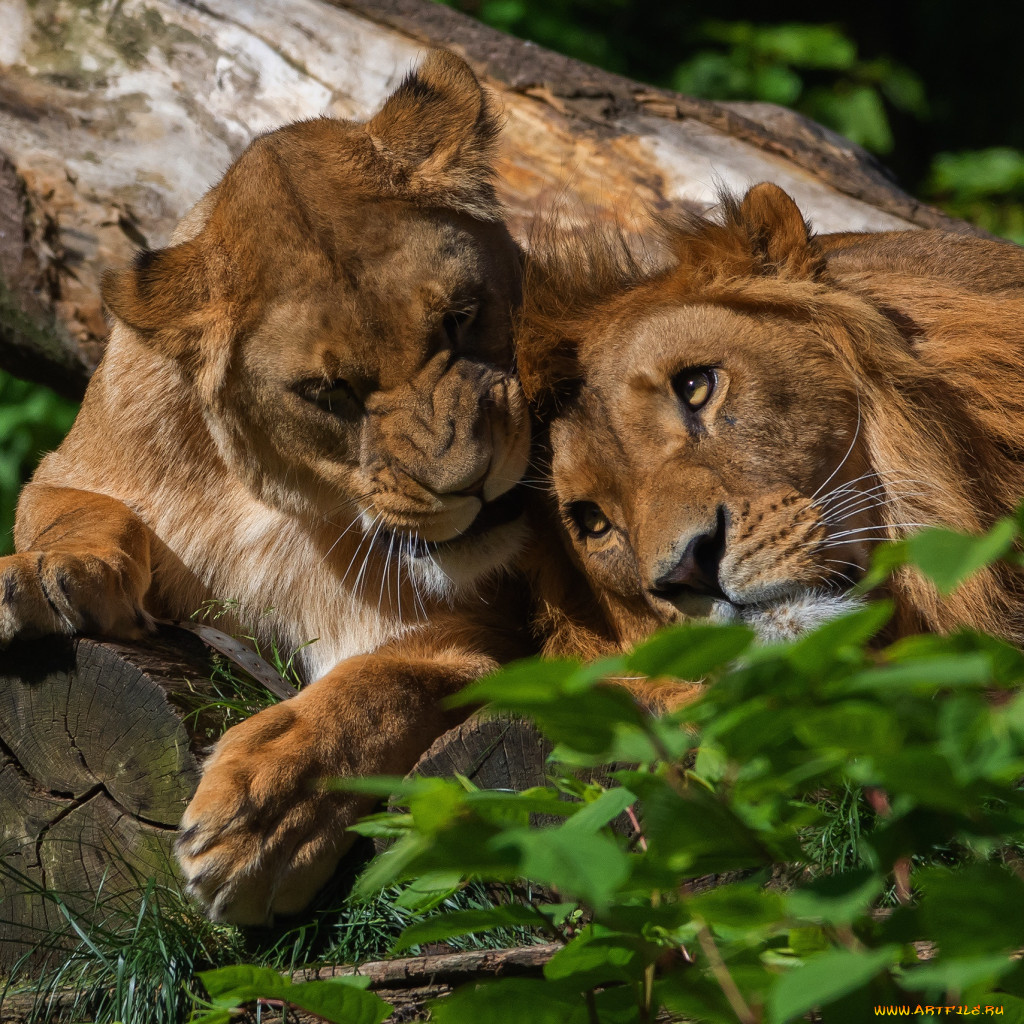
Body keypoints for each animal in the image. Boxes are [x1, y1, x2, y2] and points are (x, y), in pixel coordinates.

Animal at [2, 51, 536, 925]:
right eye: (327, 393)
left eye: (460, 318)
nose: (477, 486)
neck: (282, 501)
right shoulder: (68, 467)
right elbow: (78, 510)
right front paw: (43, 576)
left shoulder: (493, 638)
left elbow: (379, 687)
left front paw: (264, 818)